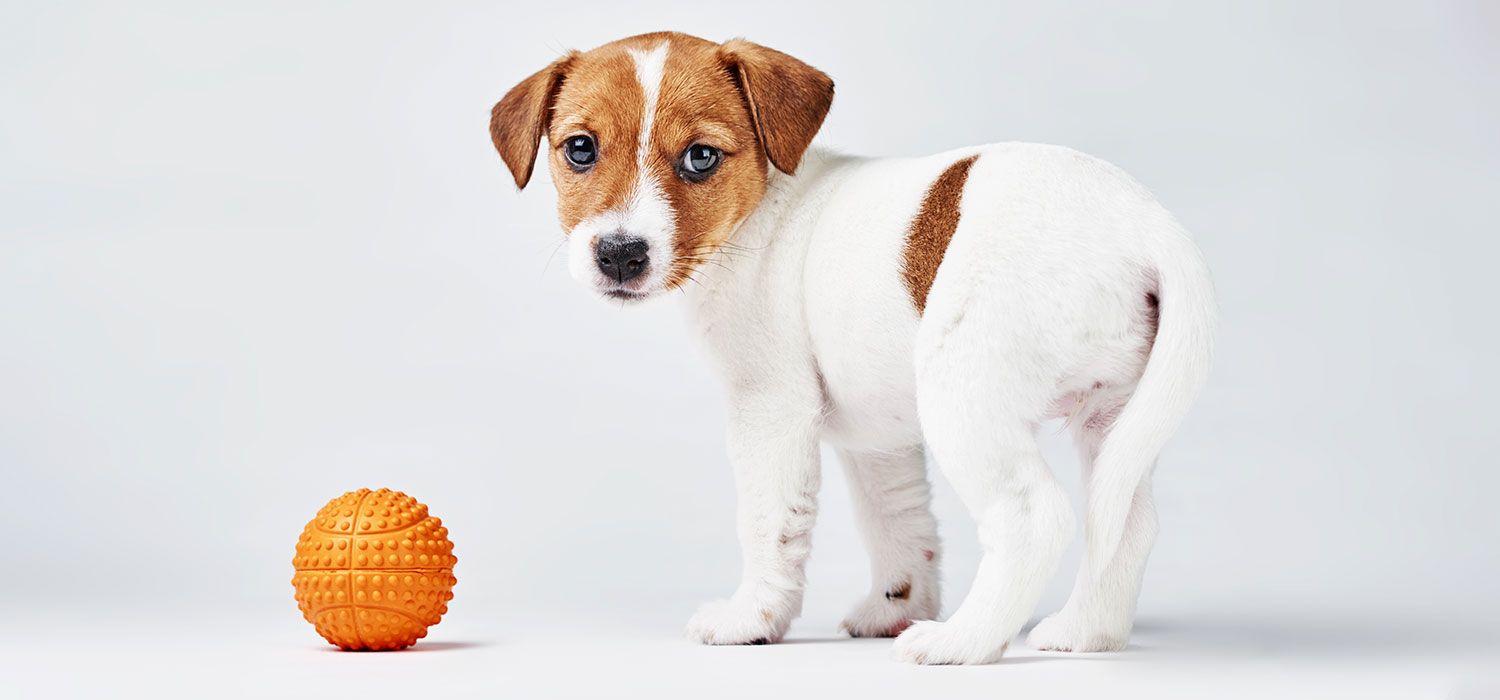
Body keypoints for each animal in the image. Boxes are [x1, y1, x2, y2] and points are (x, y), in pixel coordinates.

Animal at [492, 31, 1218, 668]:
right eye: (579, 150)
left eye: (700, 158)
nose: (620, 254)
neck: (766, 207)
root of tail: (1145, 226)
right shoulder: (879, 440)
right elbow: (899, 524)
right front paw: (895, 605)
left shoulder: (771, 412)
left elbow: (769, 524)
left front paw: (751, 619)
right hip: (1115, 416)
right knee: (1125, 522)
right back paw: (1083, 633)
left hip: (962, 395)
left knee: (1033, 518)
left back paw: (960, 642)